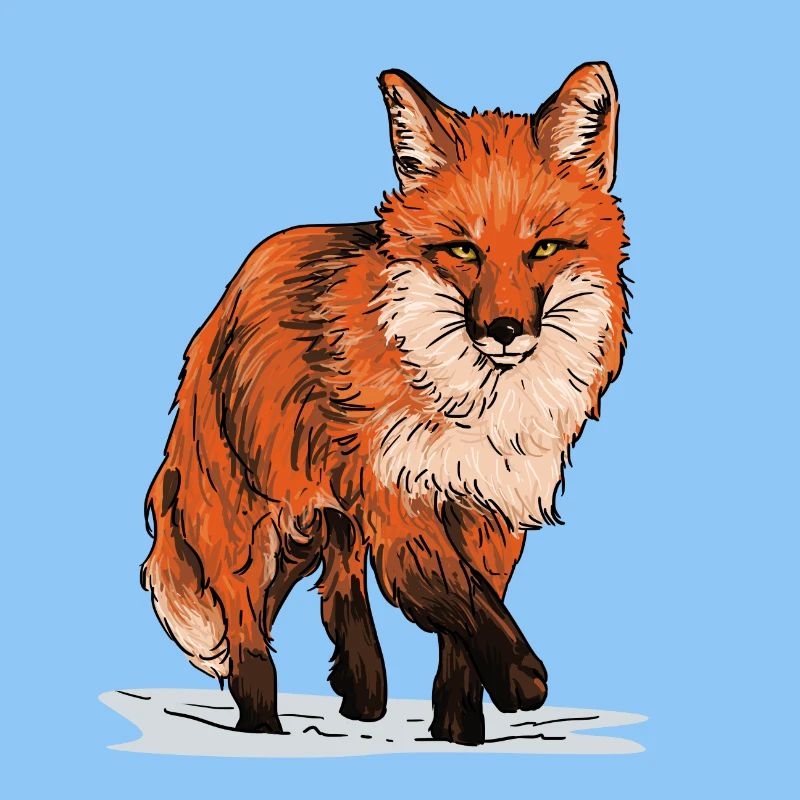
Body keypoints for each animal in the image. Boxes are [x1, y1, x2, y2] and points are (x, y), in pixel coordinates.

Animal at [141, 62, 629, 746]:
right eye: (463, 250)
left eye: (543, 249)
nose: (505, 330)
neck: (472, 407)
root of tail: (228, 294)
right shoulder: (401, 502)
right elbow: (466, 602)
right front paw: (523, 681)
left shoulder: (490, 511)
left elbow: (466, 635)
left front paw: (459, 734)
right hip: (257, 521)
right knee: (247, 630)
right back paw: (263, 727)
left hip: (323, 518)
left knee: (336, 589)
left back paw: (362, 694)